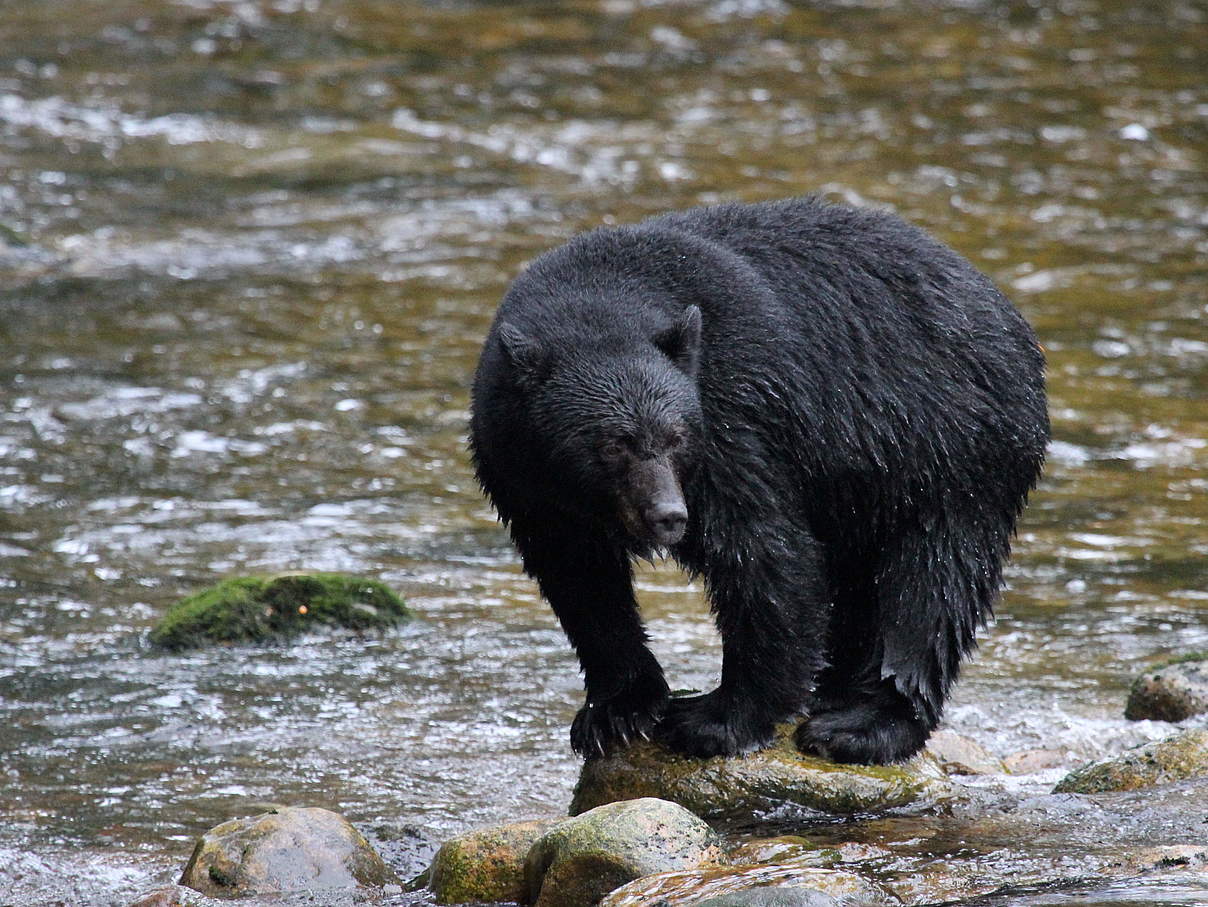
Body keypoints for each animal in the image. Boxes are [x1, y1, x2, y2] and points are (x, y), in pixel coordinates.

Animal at [468, 196, 1048, 768]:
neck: (598, 300)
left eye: (676, 437)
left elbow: (761, 552)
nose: (668, 516)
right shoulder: (521, 473)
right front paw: (617, 710)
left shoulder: (737, 410)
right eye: (612, 443)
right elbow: (579, 580)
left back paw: (864, 724)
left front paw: (716, 719)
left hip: (950, 447)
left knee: (932, 581)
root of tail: (1006, 310)